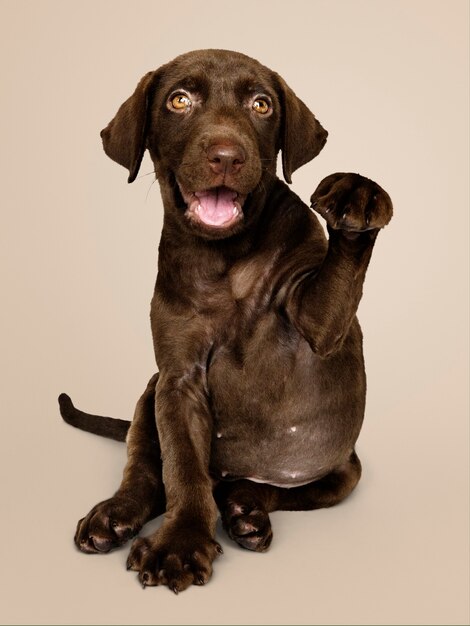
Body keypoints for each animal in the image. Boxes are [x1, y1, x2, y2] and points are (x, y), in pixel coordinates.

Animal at [58, 47, 392, 588]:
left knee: (276, 491)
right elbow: (182, 468)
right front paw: (181, 541)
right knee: (146, 467)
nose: (227, 156)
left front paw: (355, 194)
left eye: (261, 104)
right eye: (179, 100)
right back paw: (117, 515)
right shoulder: (178, 379)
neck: (226, 260)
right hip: (150, 391)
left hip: (343, 472)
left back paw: (245, 509)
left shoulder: (319, 325)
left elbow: (340, 275)